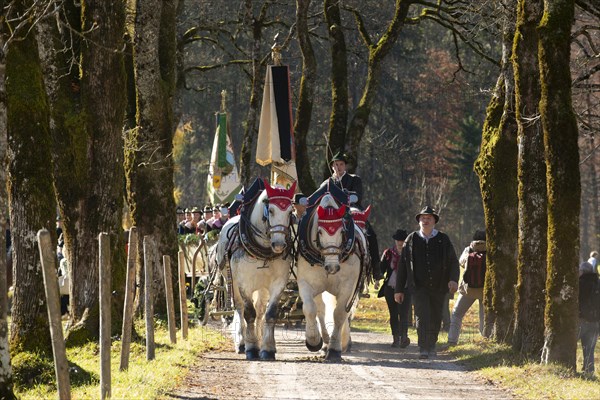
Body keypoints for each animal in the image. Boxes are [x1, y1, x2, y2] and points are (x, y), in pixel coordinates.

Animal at [216, 180, 296, 360]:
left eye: (290, 212)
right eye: (270, 210)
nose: (279, 244)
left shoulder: (278, 282)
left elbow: (270, 313)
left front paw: (267, 348)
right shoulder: (244, 283)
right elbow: (248, 313)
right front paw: (251, 347)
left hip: (262, 286)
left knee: (260, 311)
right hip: (232, 282)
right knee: (240, 308)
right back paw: (242, 342)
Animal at [298, 195, 368, 360]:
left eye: (342, 231)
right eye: (320, 232)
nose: (332, 267)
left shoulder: (348, 286)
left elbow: (340, 314)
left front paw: (335, 348)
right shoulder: (306, 282)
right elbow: (310, 309)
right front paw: (313, 340)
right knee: (321, 311)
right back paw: (324, 342)